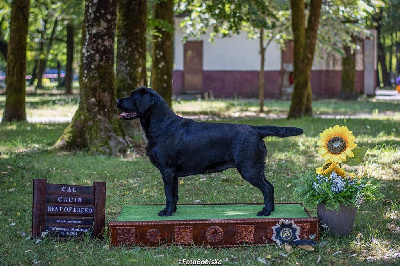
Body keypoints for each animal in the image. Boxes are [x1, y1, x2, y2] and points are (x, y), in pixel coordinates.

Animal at [116, 87, 304, 216]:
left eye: (132, 96)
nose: (117, 101)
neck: (162, 125)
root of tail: (255, 129)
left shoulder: (167, 171)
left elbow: (168, 195)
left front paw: (166, 213)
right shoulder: (174, 174)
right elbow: (175, 195)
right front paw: (174, 211)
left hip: (249, 168)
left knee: (267, 188)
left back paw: (266, 212)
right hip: (256, 167)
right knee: (270, 186)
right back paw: (270, 209)